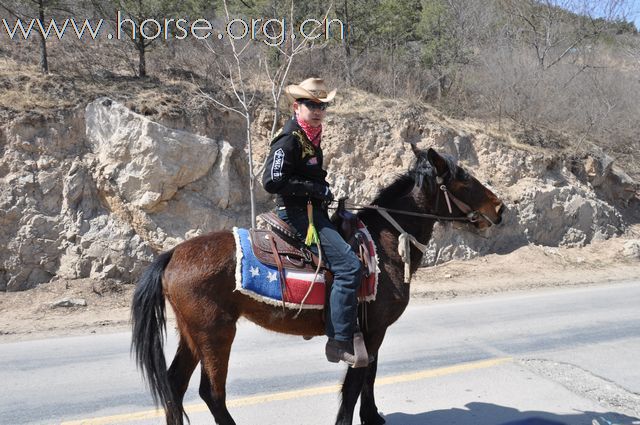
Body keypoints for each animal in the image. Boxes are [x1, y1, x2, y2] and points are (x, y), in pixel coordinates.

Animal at [131, 147, 504, 424]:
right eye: (464, 179)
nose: (500, 207)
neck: (383, 244)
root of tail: (174, 253)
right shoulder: (371, 330)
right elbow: (355, 382)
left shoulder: (373, 329)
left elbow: (369, 375)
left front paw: (372, 417)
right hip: (216, 333)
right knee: (211, 393)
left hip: (191, 333)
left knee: (175, 386)